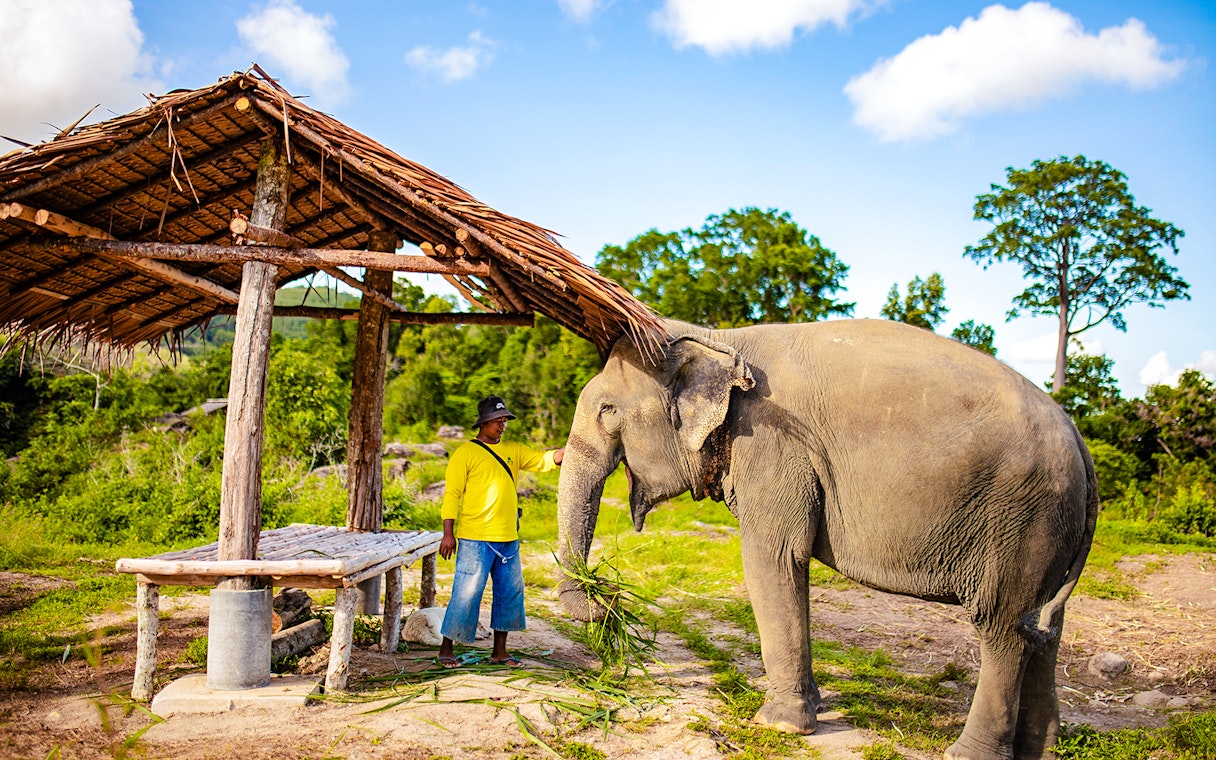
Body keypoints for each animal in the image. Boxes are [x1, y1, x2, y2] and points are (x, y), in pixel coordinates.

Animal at [555, 318, 1097, 760]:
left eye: (607, 410)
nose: (607, 601)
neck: (719, 339)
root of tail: (1078, 438)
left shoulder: (773, 444)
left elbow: (774, 559)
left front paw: (779, 725)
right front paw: (811, 707)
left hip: (1022, 519)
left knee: (1001, 627)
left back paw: (968, 753)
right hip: (1049, 529)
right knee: (1041, 629)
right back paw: (1041, 750)